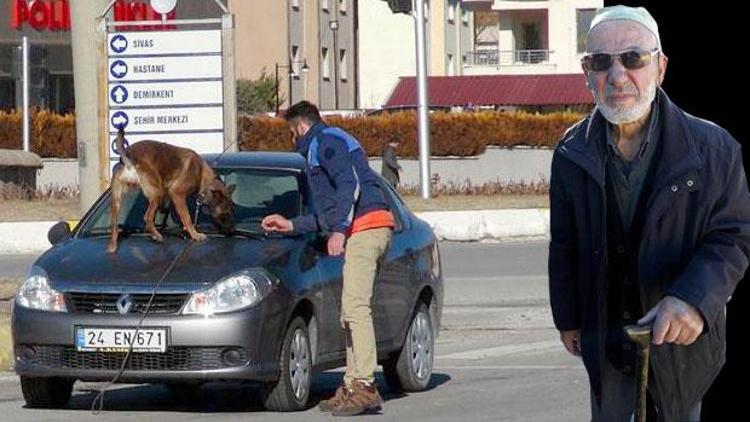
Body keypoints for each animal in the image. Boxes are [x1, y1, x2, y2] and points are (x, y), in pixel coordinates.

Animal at [107, 129, 236, 254]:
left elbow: (170, 209)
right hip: (156, 194)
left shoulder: (168, 193)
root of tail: (128, 159)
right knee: (147, 218)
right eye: (226, 214)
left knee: (115, 225)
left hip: (116, 199)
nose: (232, 231)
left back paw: (112, 247)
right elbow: (187, 217)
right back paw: (157, 235)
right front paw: (195, 234)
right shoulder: (178, 194)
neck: (202, 176)